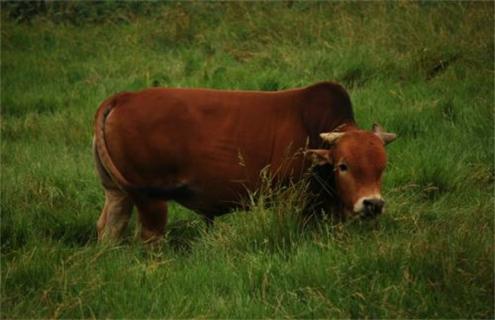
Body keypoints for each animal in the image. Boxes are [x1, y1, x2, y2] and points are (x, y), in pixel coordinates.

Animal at [92, 82, 396, 242]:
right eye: (343, 165)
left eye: (382, 167)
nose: (373, 204)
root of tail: (124, 97)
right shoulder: (290, 201)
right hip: (151, 200)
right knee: (149, 236)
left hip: (118, 193)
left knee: (110, 228)